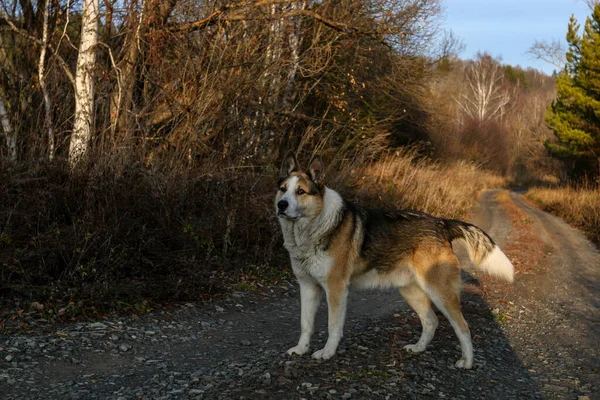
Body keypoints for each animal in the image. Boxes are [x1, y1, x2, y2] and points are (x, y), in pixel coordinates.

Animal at [274, 152, 512, 368]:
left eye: (301, 191)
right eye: (283, 189)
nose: (282, 205)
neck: (313, 226)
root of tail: (442, 223)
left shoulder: (336, 288)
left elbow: (333, 326)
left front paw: (327, 353)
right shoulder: (307, 287)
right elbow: (305, 324)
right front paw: (301, 349)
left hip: (440, 292)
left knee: (462, 327)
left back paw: (467, 362)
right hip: (410, 290)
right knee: (431, 321)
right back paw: (418, 348)